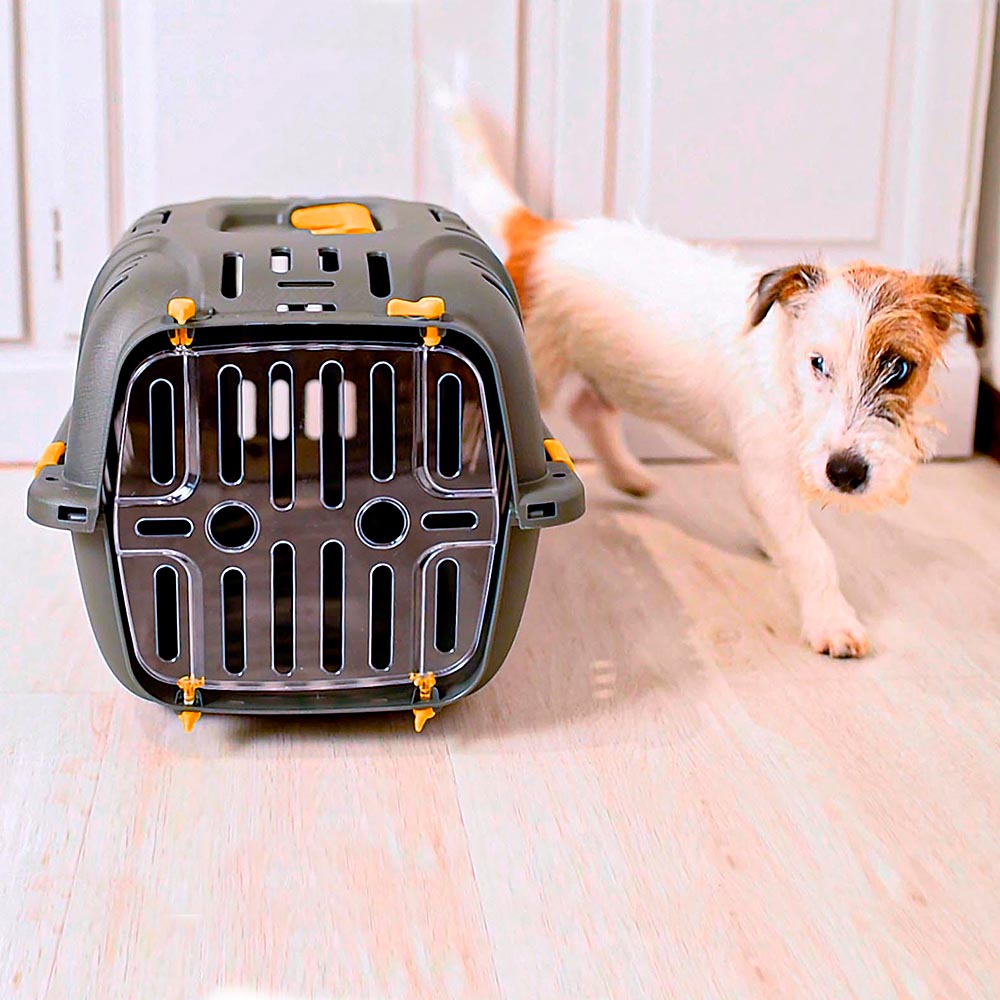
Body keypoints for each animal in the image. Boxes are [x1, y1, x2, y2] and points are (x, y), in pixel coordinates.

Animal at [450, 105, 988, 660]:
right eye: (818, 362)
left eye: (899, 368)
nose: (845, 473)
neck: (786, 370)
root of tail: (543, 234)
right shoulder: (769, 476)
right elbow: (813, 550)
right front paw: (833, 620)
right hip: (536, 366)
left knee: (589, 409)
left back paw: (629, 475)